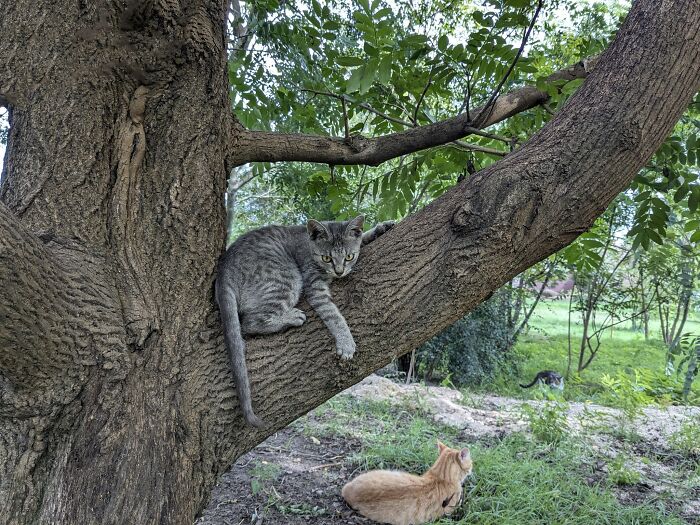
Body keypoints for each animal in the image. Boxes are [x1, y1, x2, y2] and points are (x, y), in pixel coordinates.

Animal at [216, 213, 394, 426]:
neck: (308, 245)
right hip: (286, 277)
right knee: (250, 323)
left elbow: (364, 238)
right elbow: (334, 315)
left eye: (349, 256)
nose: (339, 271)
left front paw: (380, 228)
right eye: (327, 258)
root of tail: (224, 269)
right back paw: (291, 318)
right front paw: (346, 342)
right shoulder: (314, 287)